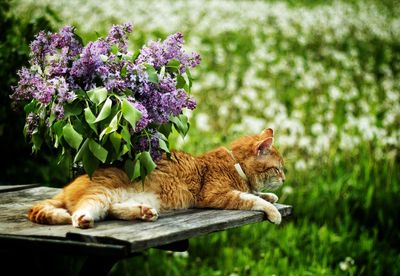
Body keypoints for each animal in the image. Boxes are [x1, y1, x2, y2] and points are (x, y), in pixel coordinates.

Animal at [28, 128, 284, 227]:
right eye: (278, 169)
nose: (284, 179)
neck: (235, 164)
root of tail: (68, 186)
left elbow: (258, 194)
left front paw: (271, 196)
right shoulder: (217, 195)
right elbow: (252, 199)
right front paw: (274, 211)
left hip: (138, 198)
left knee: (112, 210)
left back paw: (143, 212)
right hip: (103, 191)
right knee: (84, 209)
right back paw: (83, 219)